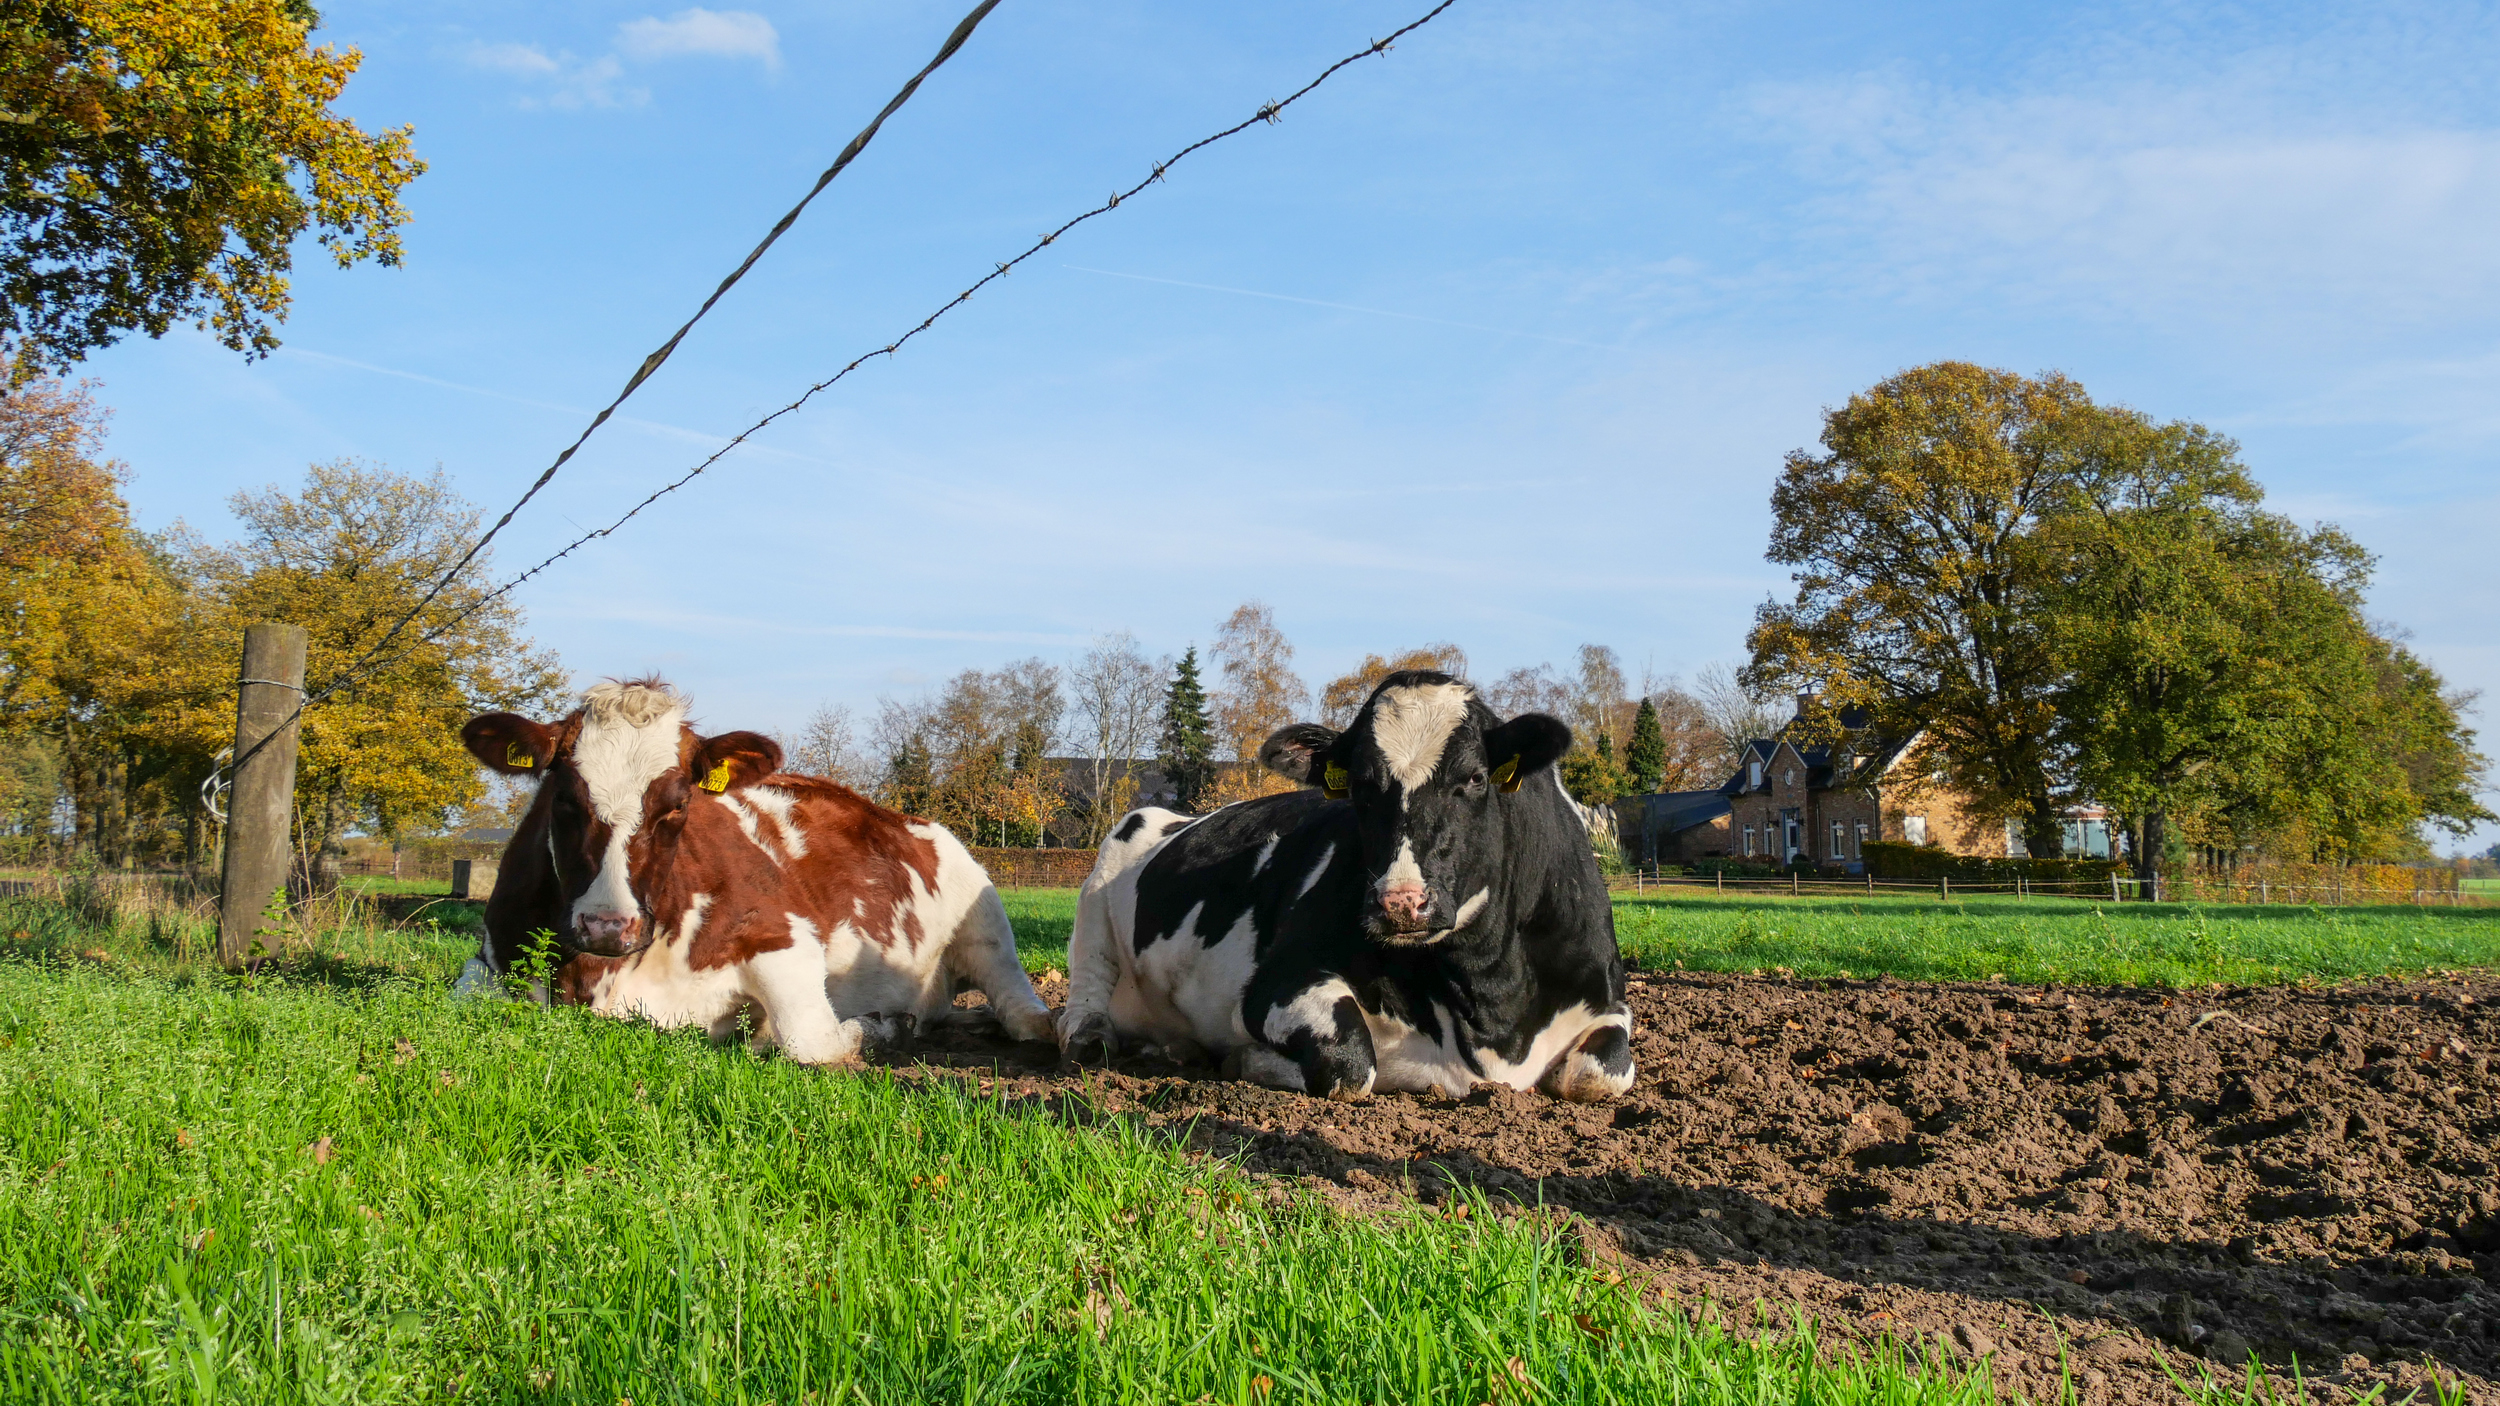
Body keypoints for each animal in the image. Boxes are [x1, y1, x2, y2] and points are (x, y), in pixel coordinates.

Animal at [460, 680, 1055, 1060]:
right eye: (563, 798)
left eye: (678, 804)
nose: (607, 925)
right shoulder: (486, 961)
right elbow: (465, 993)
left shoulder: (785, 937)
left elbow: (810, 1040)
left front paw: (875, 1029)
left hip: (984, 912)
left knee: (1018, 1002)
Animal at [1060, 665, 1630, 1095]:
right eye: (1358, 784)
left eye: (1474, 777)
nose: (1401, 903)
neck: (1492, 1000)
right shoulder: (1274, 983)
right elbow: (1351, 1064)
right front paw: (1249, 1060)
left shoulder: (1609, 999)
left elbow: (1601, 1074)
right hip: (1100, 883)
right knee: (1087, 983)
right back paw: (1091, 1034)